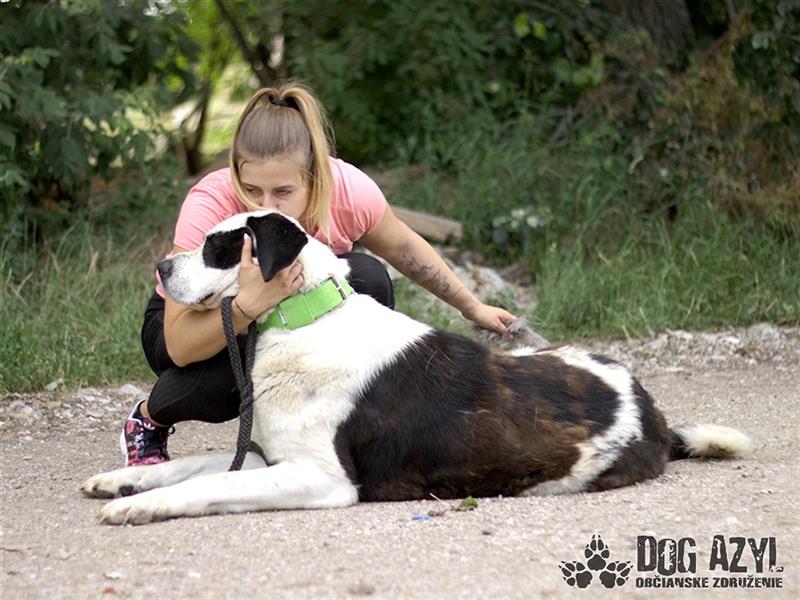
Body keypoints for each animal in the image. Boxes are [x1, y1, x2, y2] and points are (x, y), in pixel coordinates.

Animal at [84, 211, 752, 524]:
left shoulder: (322, 477)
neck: (305, 318)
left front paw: (137, 507)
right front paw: (123, 481)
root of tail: (652, 409)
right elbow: (192, 465)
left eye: (218, 246)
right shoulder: (269, 455)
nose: (160, 268)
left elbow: (206, 484)